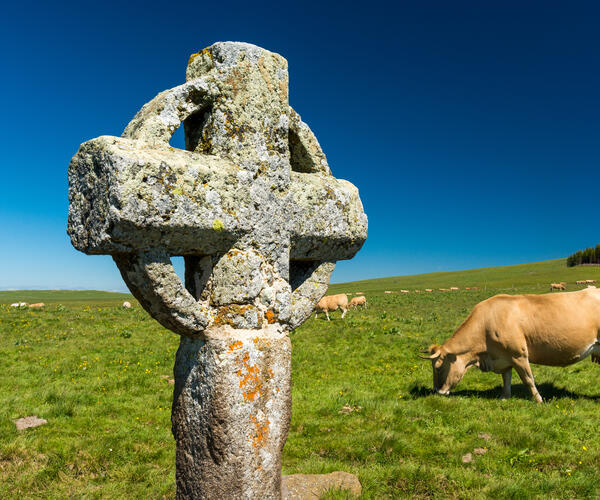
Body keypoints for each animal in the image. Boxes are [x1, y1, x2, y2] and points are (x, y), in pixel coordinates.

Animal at [420, 286, 600, 402]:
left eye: (438, 367)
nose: (437, 391)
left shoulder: (518, 354)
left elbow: (528, 379)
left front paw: (539, 400)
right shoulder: (503, 357)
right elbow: (506, 378)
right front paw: (504, 397)